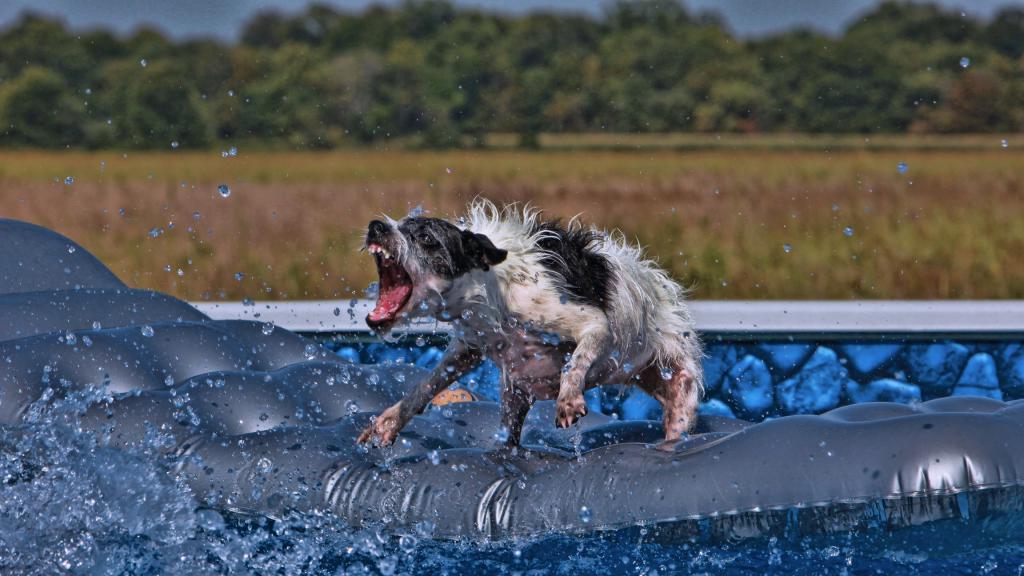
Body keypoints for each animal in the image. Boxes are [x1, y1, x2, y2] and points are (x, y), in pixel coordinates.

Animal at [356, 199, 700, 446]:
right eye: (397, 224)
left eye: (426, 238)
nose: (375, 226)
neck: (490, 289)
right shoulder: (469, 348)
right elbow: (426, 385)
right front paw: (389, 422)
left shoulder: (591, 323)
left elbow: (575, 363)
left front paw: (568, 400)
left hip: (680, 383)